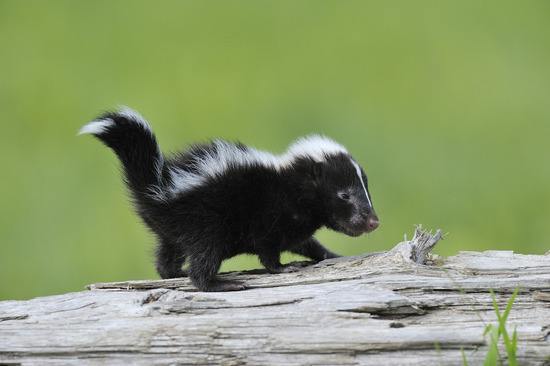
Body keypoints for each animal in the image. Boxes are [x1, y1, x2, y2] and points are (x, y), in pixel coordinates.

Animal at [80, 106, 382, 292]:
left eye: (366, 190)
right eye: (344, 195)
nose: (373, 221)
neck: (289, 183)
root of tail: (160, 187)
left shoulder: (293, 223)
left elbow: (307, 243)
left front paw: (330, 255)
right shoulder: (269, 213)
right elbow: (269, 250)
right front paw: (284, 268)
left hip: (174, 232)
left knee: (166, 258)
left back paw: (175, 273)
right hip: (206, 223)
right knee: (202, 261)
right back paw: (219, 284)